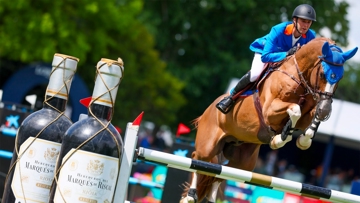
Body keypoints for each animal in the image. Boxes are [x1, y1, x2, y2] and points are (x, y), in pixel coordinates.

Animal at [180, 36, 358, 203]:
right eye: (322, 74)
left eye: (340, 78)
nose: (326, 110)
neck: (298, 77)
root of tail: (208, 110)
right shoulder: (269, 110)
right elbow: (295, 109)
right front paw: (279, 138)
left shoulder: (308, 113)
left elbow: (309, 119)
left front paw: (302, 141)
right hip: (209, 146)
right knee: (198, 158)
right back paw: (190, 195)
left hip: (243, 162)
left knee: (219, 174)